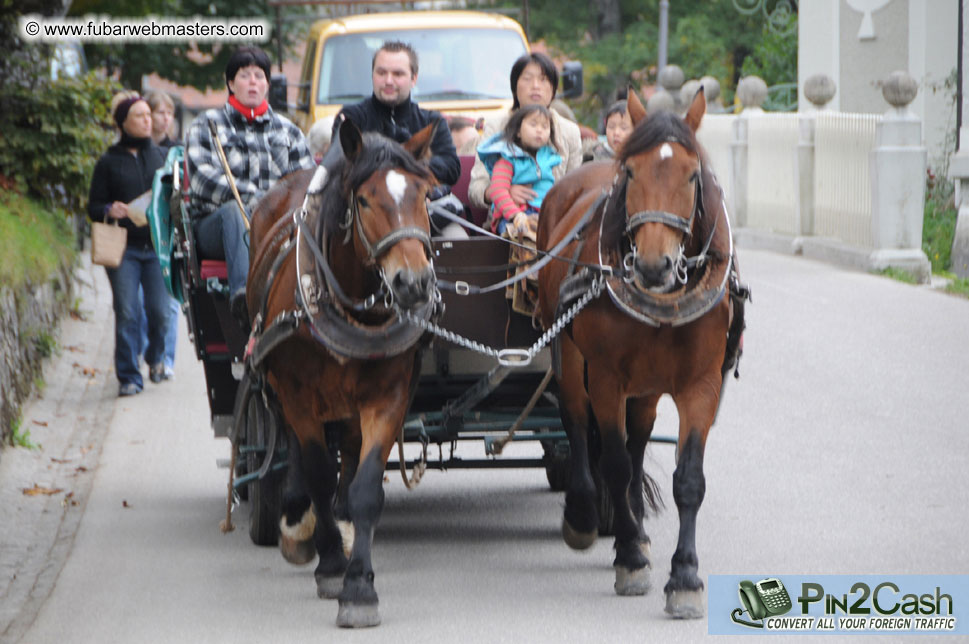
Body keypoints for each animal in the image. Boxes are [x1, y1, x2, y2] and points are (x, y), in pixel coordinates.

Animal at [246, 118, 438, 628]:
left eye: (424, 194)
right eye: (366, 200)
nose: (414, 283)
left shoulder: (387, 395)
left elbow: (365, 485)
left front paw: (359, 587)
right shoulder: (295, 392)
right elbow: (316, 469)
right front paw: (332, 564)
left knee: (348, 457)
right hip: (277, 384)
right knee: (294, 449)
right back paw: (299, 522)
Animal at [532, 90, 744, 620]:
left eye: (692, 175)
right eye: (631, 173)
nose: (652, 265)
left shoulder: (702, 384)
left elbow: (688, 478)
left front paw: (684, 577)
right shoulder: (607, 378)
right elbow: (613, 461)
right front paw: (629, 558)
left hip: (647, 386)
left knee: (638, 436)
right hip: (570, 355)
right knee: (576, 423)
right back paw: (586, 515)